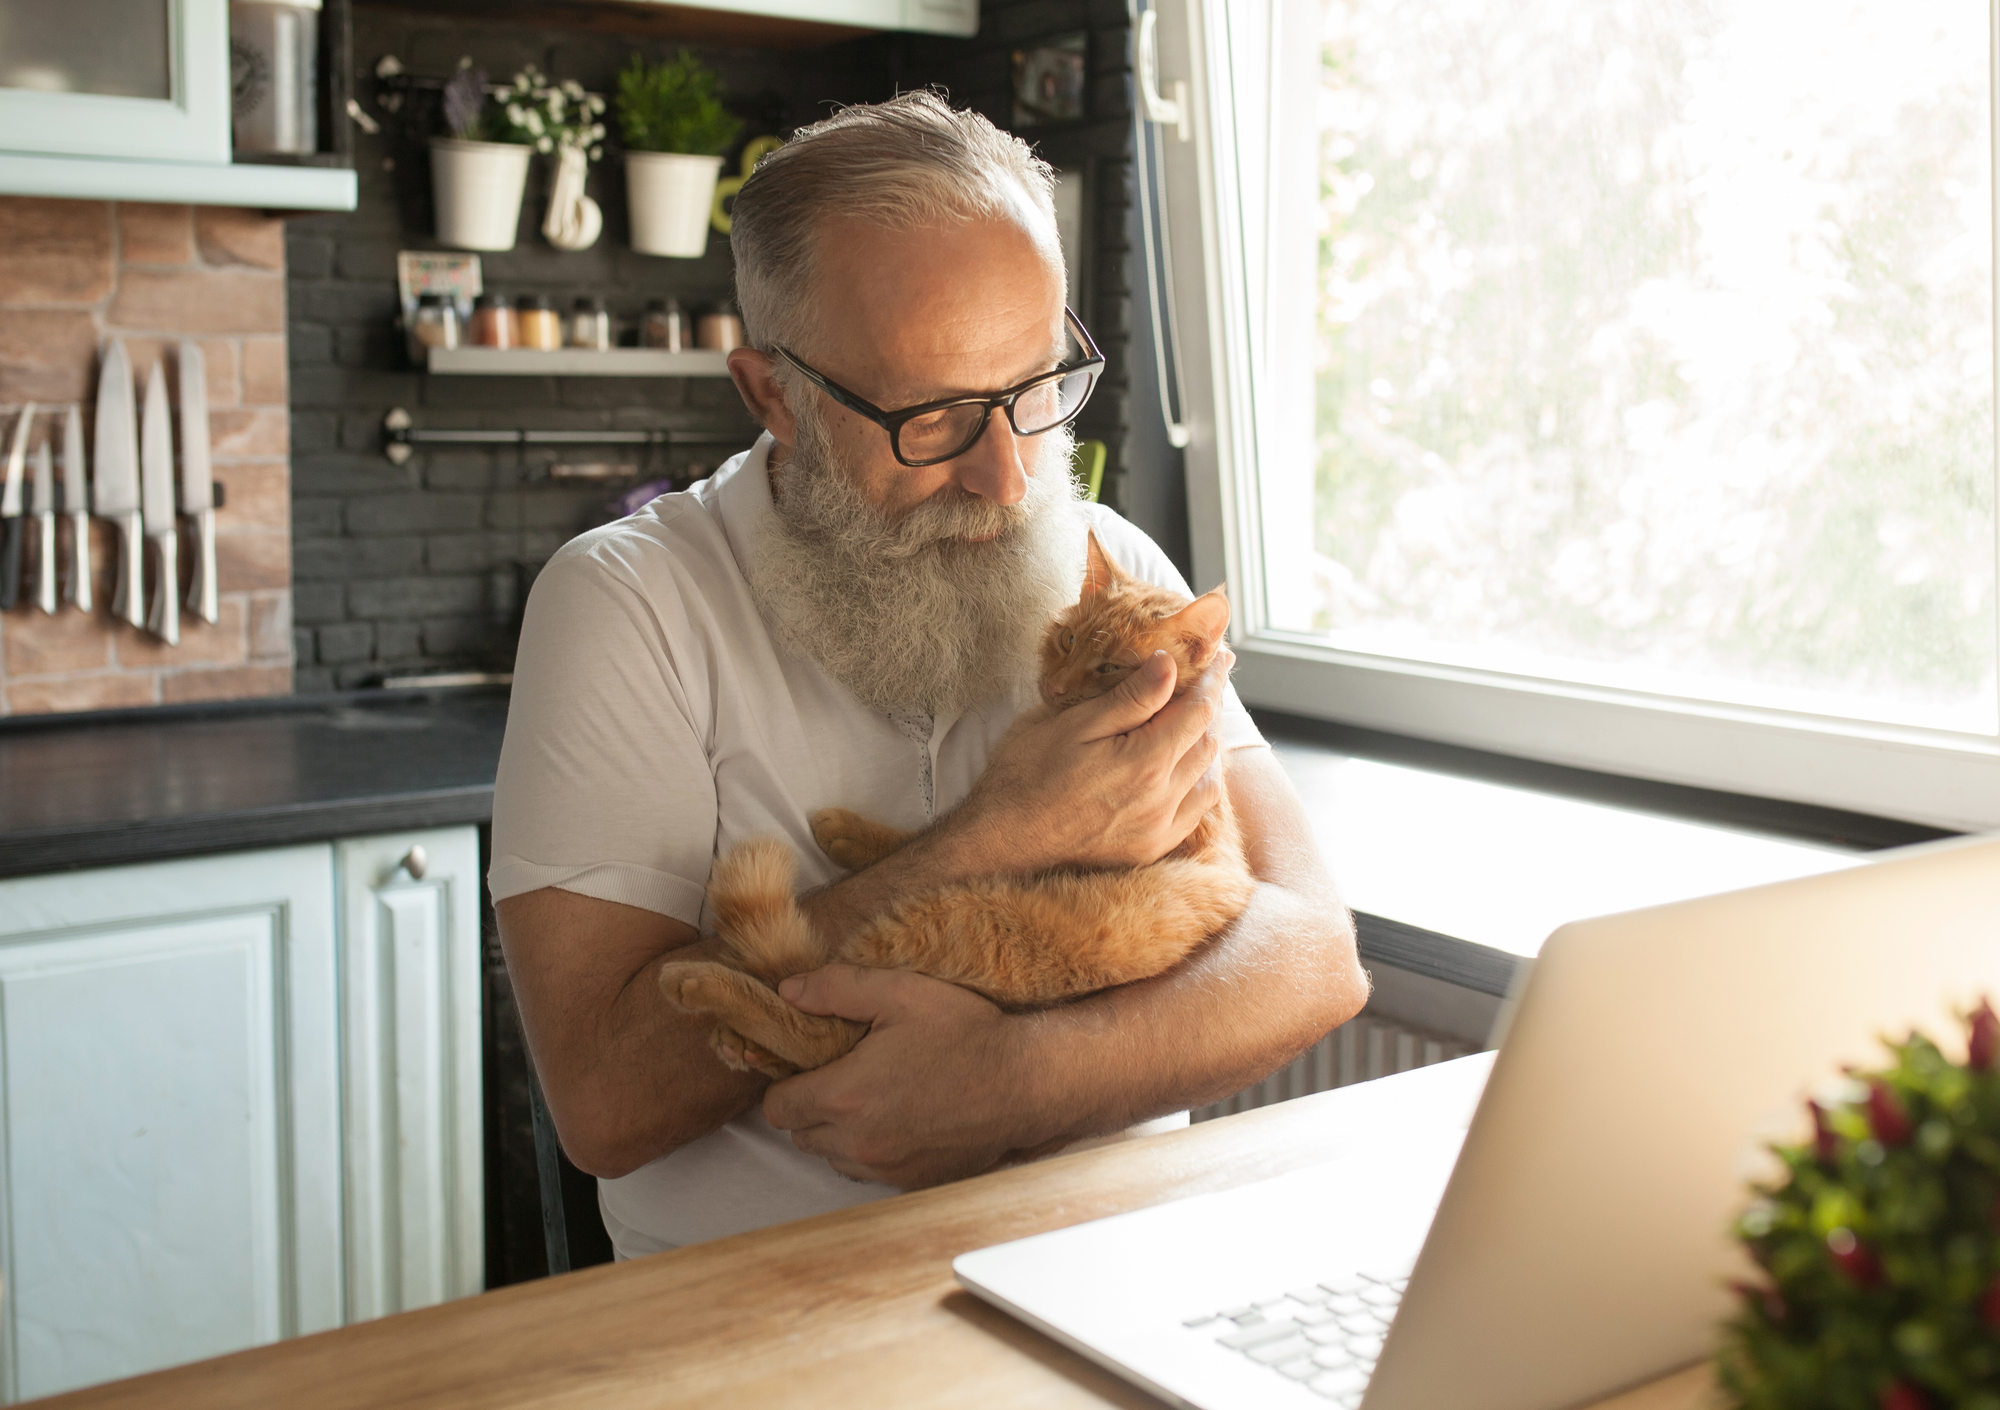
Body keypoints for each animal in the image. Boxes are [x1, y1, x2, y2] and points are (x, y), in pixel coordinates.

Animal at [656, 532, 1248, 1072]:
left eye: (1111, 668)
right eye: (1068, 639)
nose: (1057, 686)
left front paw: (844, 830)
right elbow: (922, 834)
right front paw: (851, 834)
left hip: (936, 922)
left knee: (825, 1030)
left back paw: (701, 985)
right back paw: (742, 1043)